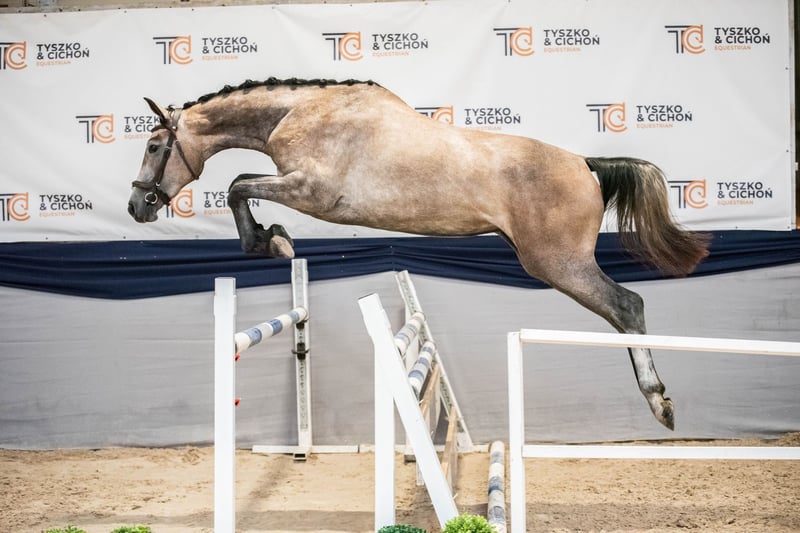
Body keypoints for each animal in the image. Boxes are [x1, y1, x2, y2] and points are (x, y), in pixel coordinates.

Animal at [128, 77, 709, 430]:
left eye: (155, 146)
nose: (137, 206)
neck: (301, 113)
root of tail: (585, 163)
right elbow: (242, 185)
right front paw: (271, 238)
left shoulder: (311, 191)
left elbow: (238, 186)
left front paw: (269, 239)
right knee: (622, 310)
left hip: (557, 263)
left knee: (627, 306)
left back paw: (659, 401)